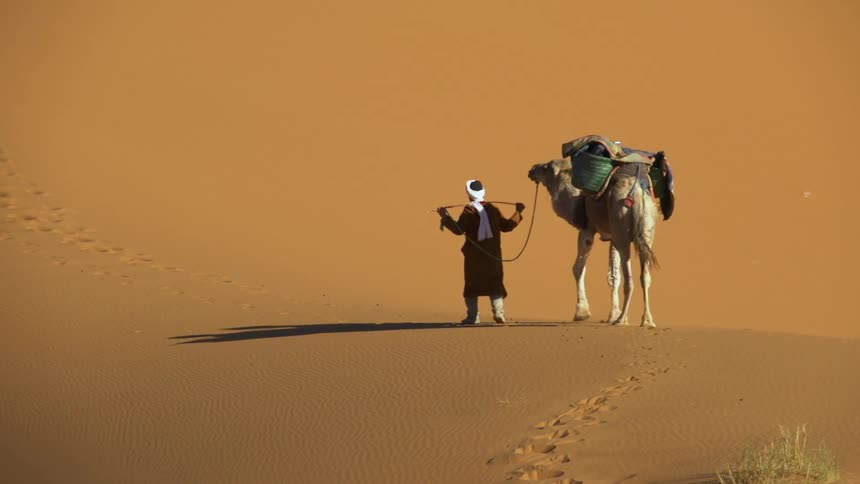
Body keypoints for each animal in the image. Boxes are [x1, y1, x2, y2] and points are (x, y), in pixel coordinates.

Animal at [527, 149, 662, 328]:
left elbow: (578, 268)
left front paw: (582, 312)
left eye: (547, 167)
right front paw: (612, 315)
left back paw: (621, 320)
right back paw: (647, 321)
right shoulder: (612, 237)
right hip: (646, 229)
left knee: (630, 278)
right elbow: (613, 276)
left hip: (622, 228)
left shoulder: (587, 230)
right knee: (645, 277)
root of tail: (637, 195)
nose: (531, 170)